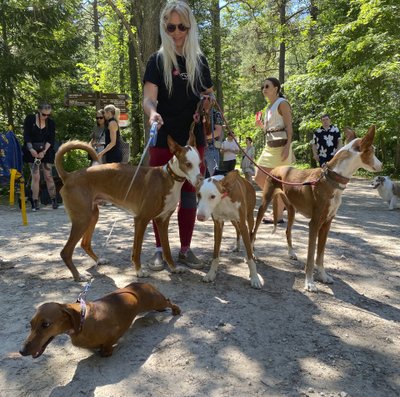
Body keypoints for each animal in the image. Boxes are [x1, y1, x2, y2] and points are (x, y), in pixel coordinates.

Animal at [19, 280, 180, 358]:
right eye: (30, 324)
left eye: (46, 324)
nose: (21, 351)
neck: (82, 320)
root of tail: (140, 283)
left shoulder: (115, 332)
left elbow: (107, 345)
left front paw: (105, 351)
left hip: (155, 300)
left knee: (168, 300)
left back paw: (176, 310)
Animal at [54, 134, 202, 282]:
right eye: (188, 164)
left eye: (200, 163)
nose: (200, 180)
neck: (168, 178)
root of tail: (69, 176)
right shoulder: (141, 220)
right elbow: (137, 250)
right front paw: (139, 271)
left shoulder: (162, 221)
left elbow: (167, 249)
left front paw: (174, 268)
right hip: (83, 219)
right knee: (65, 252)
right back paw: (78, 276)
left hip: (92, 215)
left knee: (84, 243)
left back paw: (99, 260)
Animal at [252, 125, 382, 290]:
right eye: (372, 151)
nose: (382, 165)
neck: (331, 180)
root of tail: (277, 168)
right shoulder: (314, 223)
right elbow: (311, 254)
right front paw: (309, 282)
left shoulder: (327, 223)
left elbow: (320, 255)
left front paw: (323, 276)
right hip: (264, 204)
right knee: (254, 229)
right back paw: (252, 252)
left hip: (292, 210)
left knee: (288, 231)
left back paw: (291, 253)